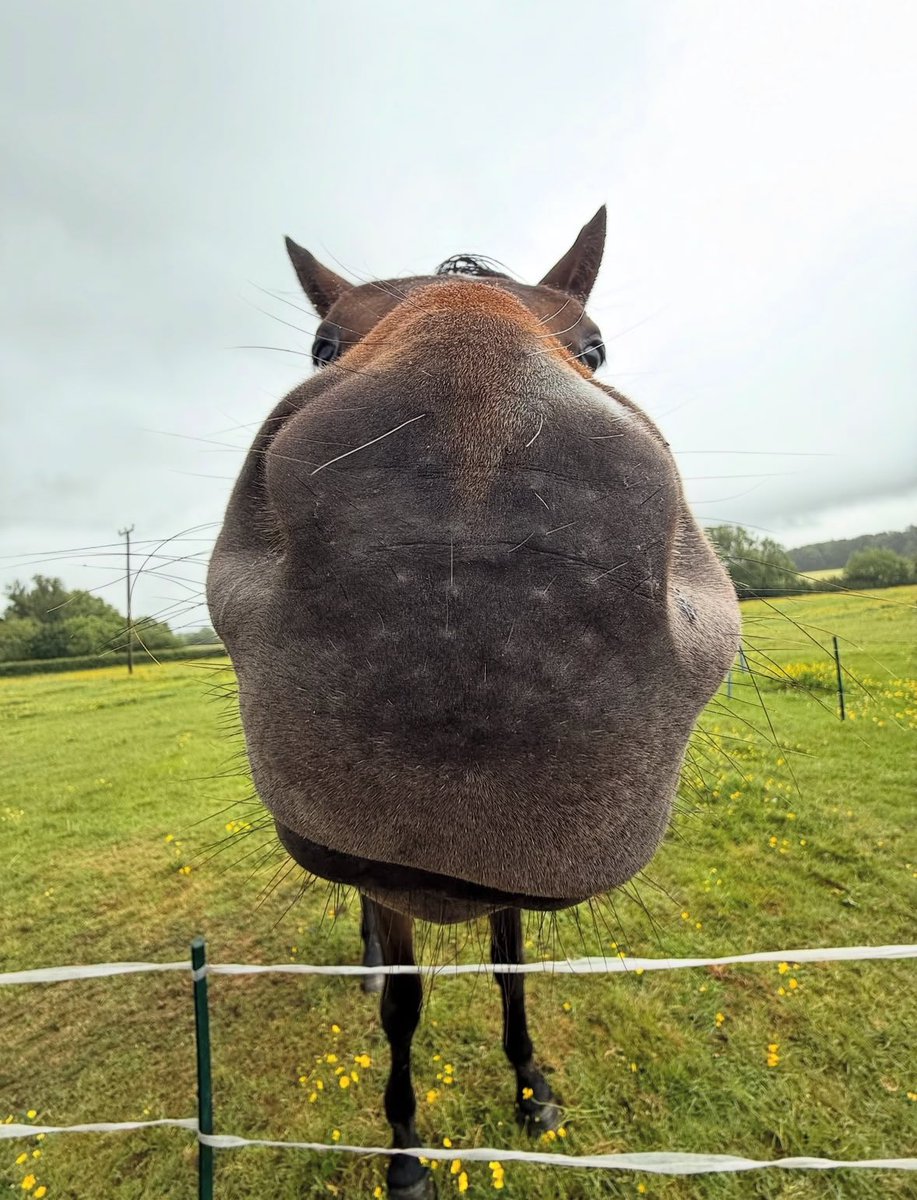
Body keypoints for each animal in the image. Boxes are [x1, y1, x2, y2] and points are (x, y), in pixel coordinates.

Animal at [206, 207, 741, 1198]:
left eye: (595, 347)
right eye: (321, 342)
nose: (469, 548)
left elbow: (510, 970)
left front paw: (530, 1086)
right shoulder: (388, 882)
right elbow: (407, 1005)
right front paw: (405, 1153)